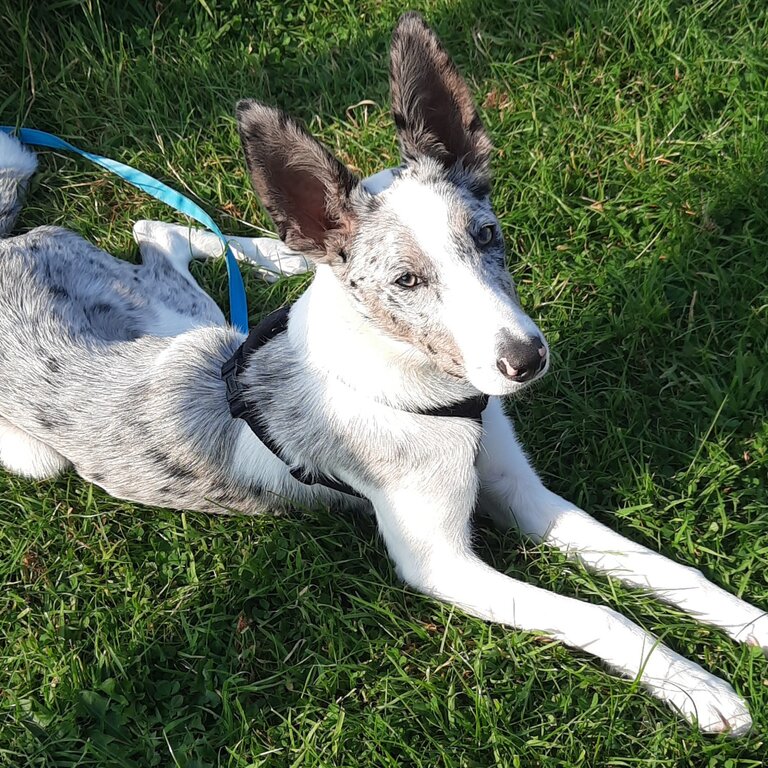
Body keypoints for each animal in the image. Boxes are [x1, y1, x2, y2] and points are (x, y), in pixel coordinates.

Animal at [0, 10, 764, 732]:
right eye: (405, 281)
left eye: (487, 236)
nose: (526, 361)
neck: (429, 393)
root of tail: (9, 244)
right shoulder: (441, 564)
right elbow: (600, 613)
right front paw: (697, 689)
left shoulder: (523, 492)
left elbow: (661, 568)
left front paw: (750, 625)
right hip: (42, 454)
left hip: (184, 320)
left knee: (155, 231)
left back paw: (276, 255)